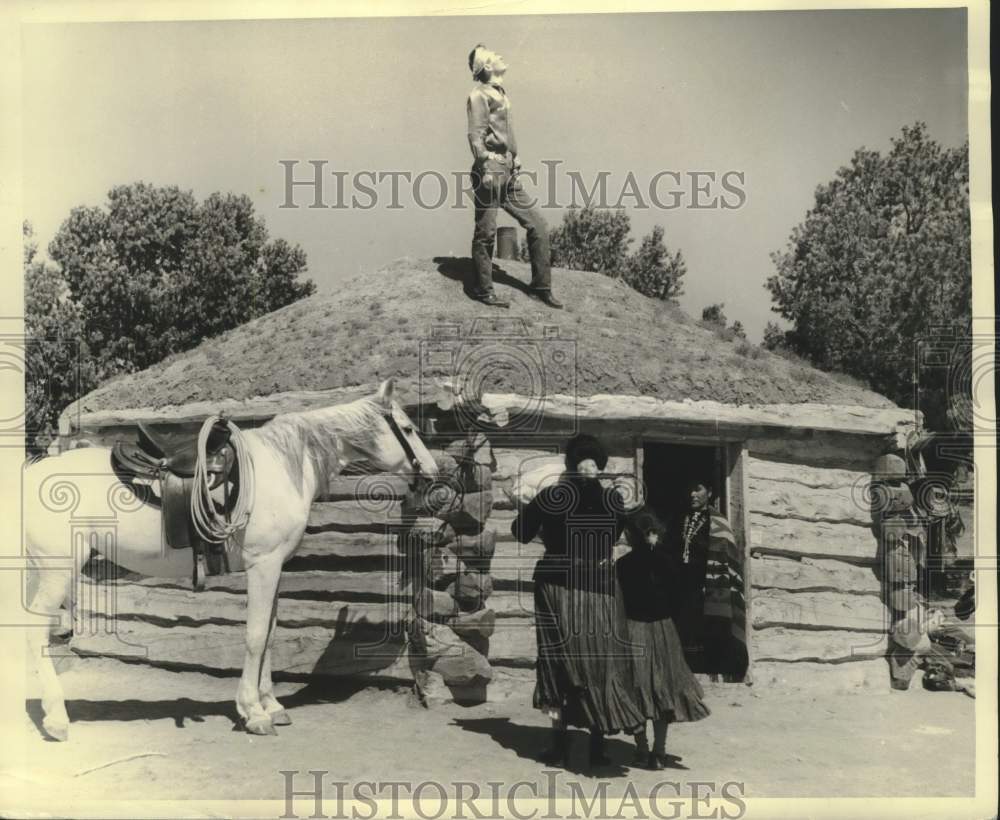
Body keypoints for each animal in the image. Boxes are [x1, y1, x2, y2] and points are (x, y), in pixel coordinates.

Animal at [22, 380, 438, 744]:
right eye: (407, 428)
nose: (433, 472)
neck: (283, 467)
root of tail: (32, 472)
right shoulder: (263, 566)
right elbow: (255, 636)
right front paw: (252, 712)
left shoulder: (276, 567)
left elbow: (270, 632)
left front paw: (272, 705)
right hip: (58, 570)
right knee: (35, 632)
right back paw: (57, 720)